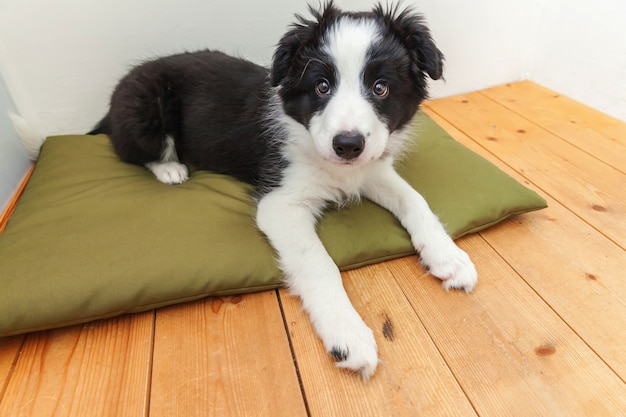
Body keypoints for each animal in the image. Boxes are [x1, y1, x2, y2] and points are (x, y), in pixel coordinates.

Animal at [91, 0, 472, 376]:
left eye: (381, 88)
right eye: (321, 86)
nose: (347, 146)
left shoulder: (372, 167)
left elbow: (415, 199)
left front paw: (449, 256)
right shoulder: (280, 203)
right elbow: (319, 263)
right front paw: (348, 334)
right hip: (145, 109)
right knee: (130, 148)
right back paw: (170, 168)